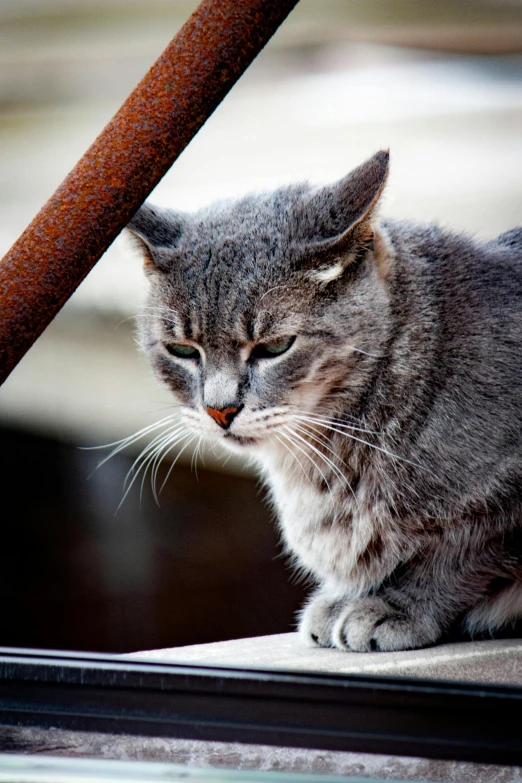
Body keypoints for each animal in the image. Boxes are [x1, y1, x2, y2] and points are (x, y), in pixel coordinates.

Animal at [126, 150, 520, 652]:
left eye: (275, 347)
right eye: (181, 350)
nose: (219, 410)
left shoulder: (502, 504)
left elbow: (458, 555)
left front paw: (395, 605)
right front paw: (346, 598)